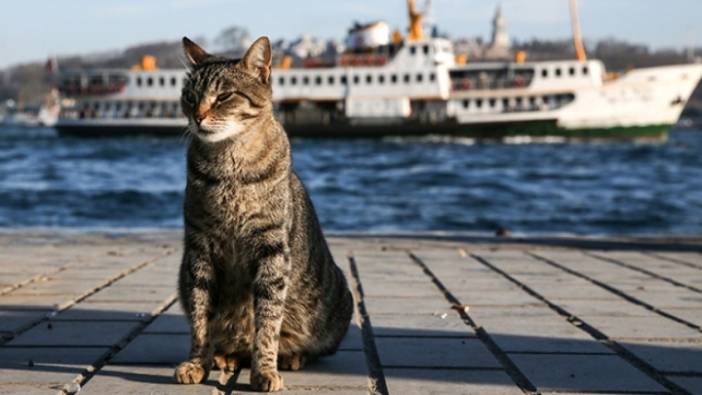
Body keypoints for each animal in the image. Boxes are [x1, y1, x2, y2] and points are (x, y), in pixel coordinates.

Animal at [174, 38, 354, 392]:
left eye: (223, 97)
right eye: (189, 97)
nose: (197, 116)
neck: (229, 163)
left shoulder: (271, 248)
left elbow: (268, 319)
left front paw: (265, 369)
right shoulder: (199, 249)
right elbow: (201, 315)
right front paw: (197, 362)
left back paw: (291, 356)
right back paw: (225, 356)